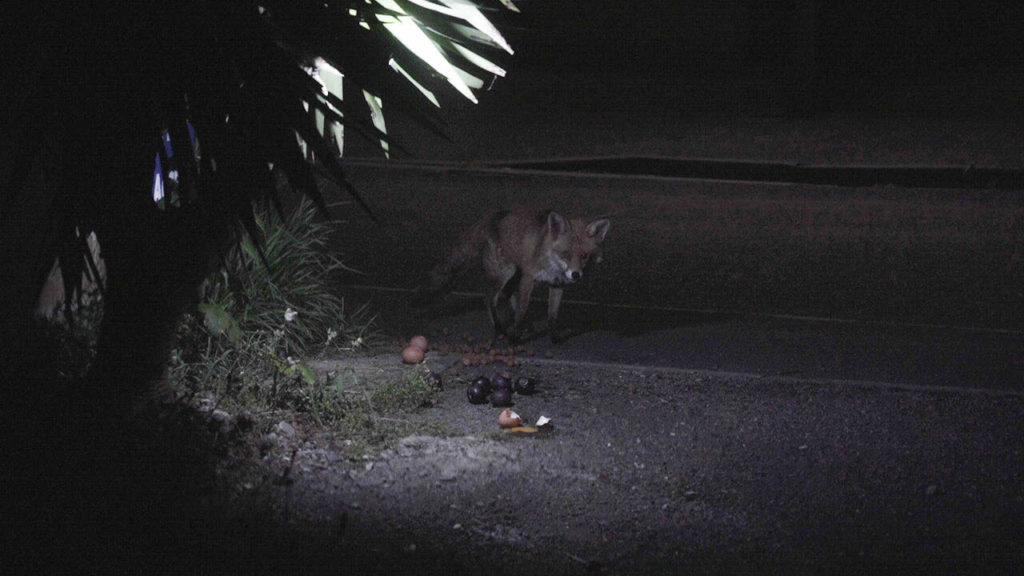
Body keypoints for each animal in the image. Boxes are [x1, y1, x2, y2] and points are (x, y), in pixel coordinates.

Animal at [414, 207, 610, 343]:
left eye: (584, 256)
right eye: (566, 254)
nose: (576, 275)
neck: (552, 262)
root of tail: (491, 216)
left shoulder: (557, 285)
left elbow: (552, 316)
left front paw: (554, 337)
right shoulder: (529, 277)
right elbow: (522, 309)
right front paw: (514, 338)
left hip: (515, 274)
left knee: (506, 295)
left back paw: (521, 326)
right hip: (505, 273)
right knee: (490, 299)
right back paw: (500, 330)